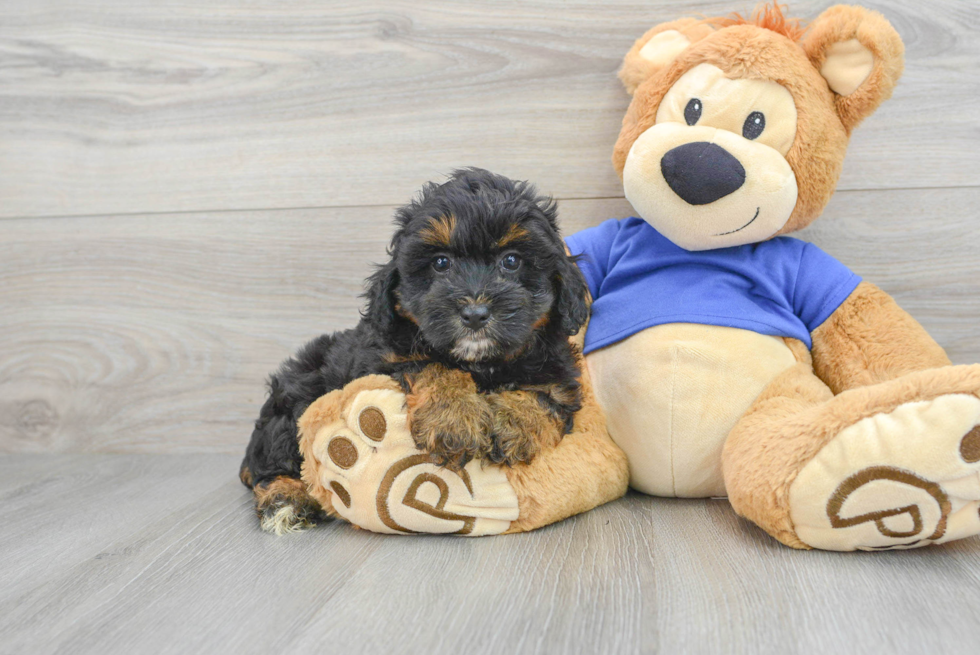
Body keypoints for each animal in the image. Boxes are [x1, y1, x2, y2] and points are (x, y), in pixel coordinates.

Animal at [239, 168, 588, 532]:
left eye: (511, 261)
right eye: (440, 263)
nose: (475, 314)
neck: (482, 362)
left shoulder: (559, 374)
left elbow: (546, 397)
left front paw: (512, 423)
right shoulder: (383, 361)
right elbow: (434, 366)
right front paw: (454, 419)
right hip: (293, 402)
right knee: (271, 465)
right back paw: (285, 499)